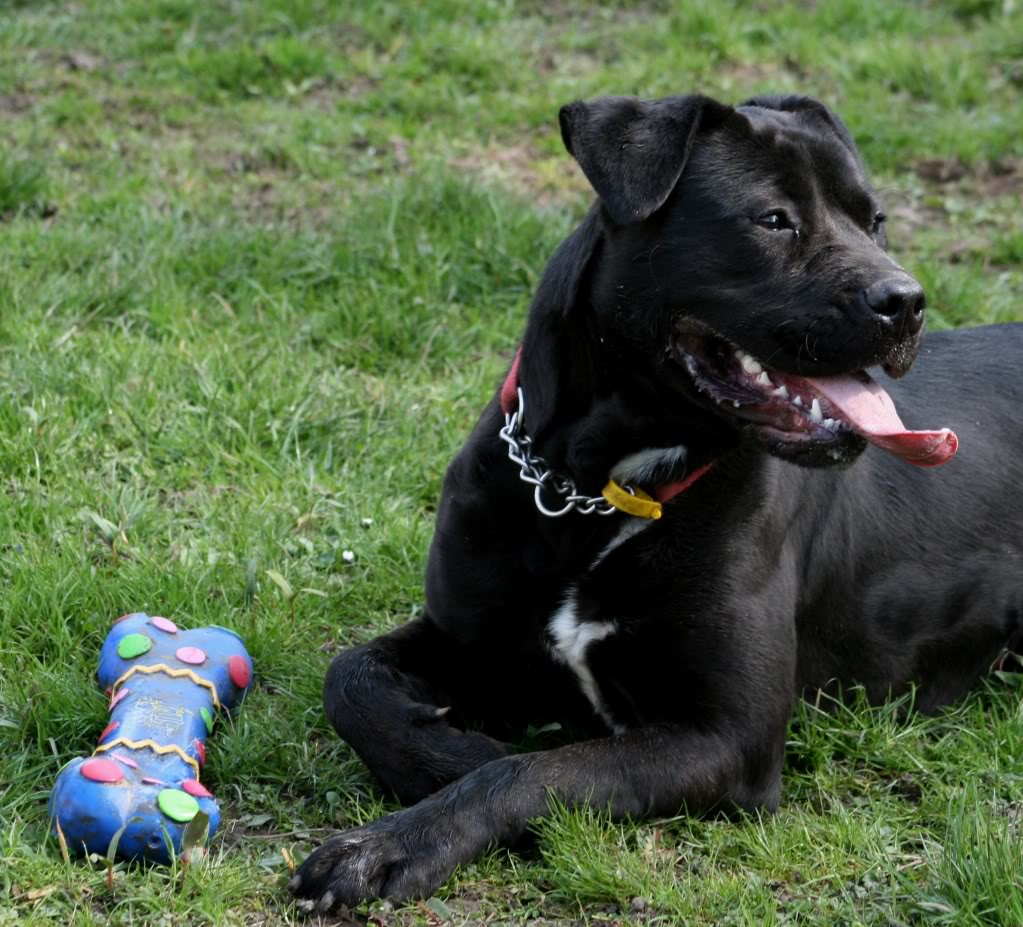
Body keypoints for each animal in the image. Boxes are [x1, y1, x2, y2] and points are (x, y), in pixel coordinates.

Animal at [288, 94, 1023, 908]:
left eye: (876, 220)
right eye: (772, 219)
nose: (906, 300)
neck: (594, 491)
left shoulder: (727, 738)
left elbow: (533, 772)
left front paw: (395, 842)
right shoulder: (460, 632)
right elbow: (349, 679)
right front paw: (453, 749)